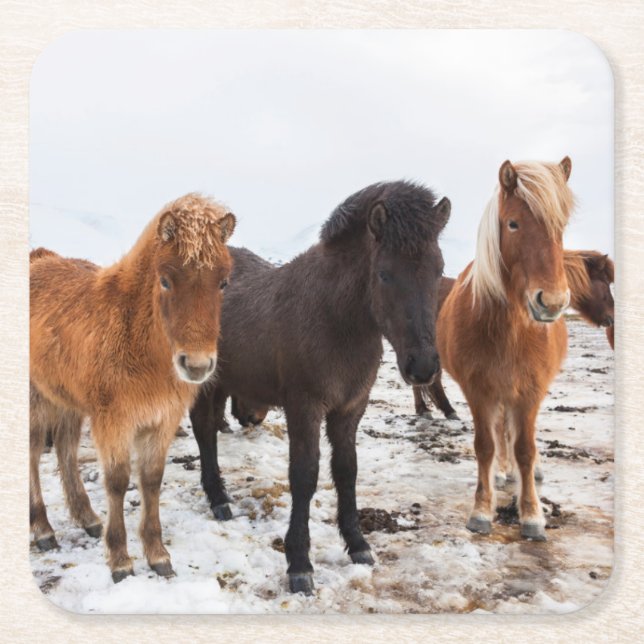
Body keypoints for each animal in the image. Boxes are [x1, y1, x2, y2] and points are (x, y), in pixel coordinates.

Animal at [30, 194, 235, 582]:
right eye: (166, 280)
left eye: (223, 283)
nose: (197, 365)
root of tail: (37, 258)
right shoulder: (114, 422)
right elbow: (117, 481)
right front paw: (120, 560)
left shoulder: (161, 420)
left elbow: (151, 480)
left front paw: (157, 555)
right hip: (37, 399)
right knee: (34, 453)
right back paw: (43, 529)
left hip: (67, 400)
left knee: (64, 447)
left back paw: (87, 518)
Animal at [189, 181, 451, 595]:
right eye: (384, 274)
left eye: (438, 270)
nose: (423, 366)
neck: (334, 318)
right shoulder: (304, 407)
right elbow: (305, 475)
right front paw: (299, 563)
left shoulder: (350, 408)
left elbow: (346, 470)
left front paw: (358, 544)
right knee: (203, 431)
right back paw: (218, 500)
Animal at [437, 158, 574, 541]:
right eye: (513, 223)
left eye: (561, 226)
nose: (551, 302)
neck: (510, 331)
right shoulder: (479, 391)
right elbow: (486, 445)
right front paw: (482, 510)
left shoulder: (530, 392)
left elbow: (525, 450)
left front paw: (532, 515)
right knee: (500, 435)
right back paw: (501, 470)